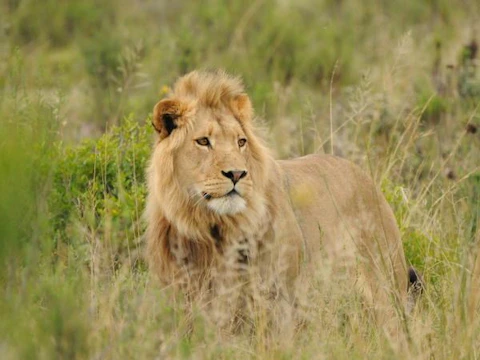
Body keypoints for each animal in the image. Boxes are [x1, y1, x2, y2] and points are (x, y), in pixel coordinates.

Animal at [145, 69, 420, 334]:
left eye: (241, 142)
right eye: (203, 141)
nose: (237, 174)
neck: (210, 228)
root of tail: (368, 180)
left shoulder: (281, 300)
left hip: (386, 291)